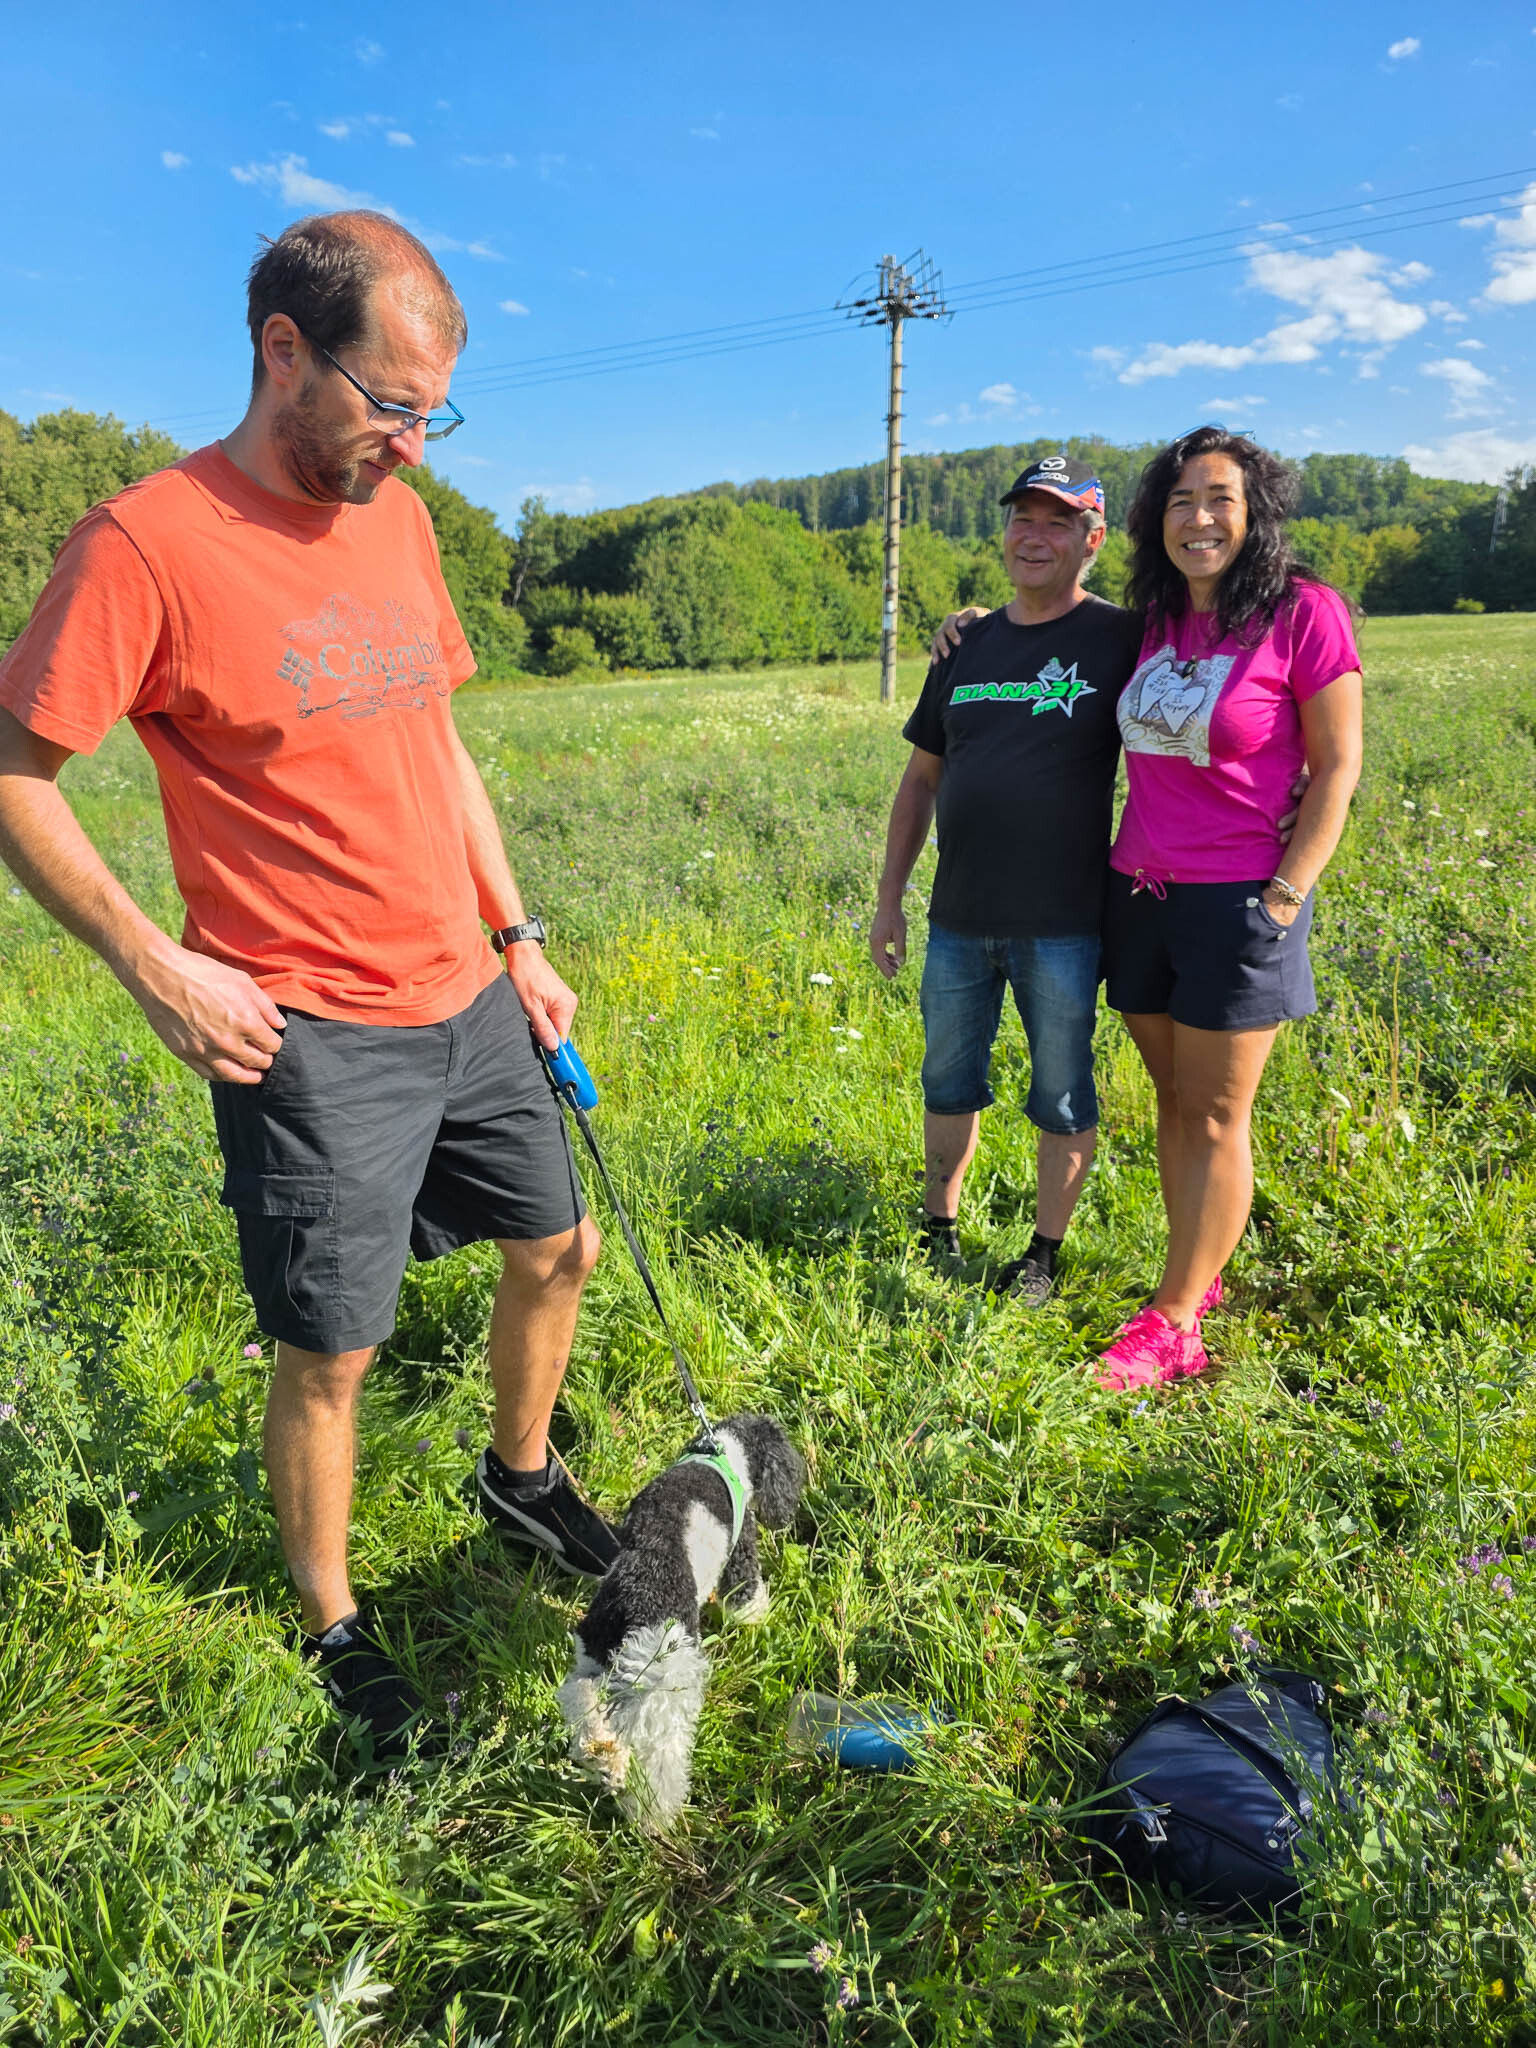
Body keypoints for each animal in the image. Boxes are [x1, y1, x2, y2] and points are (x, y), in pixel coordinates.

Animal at [556, 1412, 806, 1830]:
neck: (721, 1450)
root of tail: (629, 1603)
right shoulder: (741, 1549)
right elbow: (746, 1597)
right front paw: (758, 1625)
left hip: (593, 1658)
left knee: (579, 1696)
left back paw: (602, 1756)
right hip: (664, 1687)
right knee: (660, 1764)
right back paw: (655, 1819)